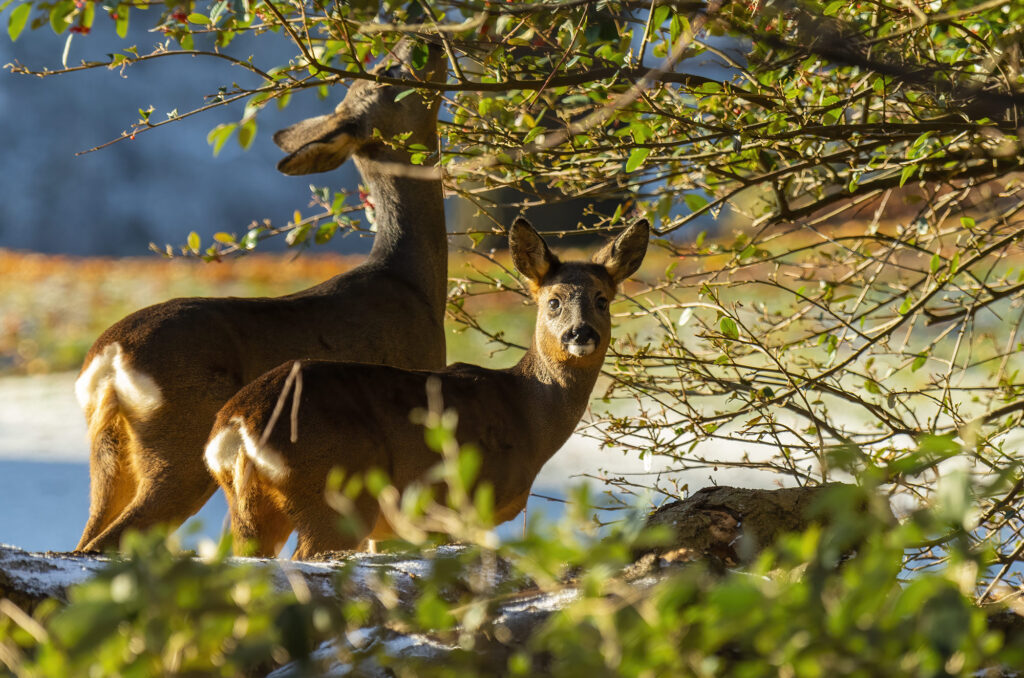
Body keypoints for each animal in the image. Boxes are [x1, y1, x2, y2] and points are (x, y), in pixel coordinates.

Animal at [74, 41, 450, 553]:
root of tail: (110, 358)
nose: (425, 42)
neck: (412, 283)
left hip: (109, 452)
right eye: (388, 70)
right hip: (182, 444)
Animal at [204, 216, 647, 557]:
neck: (525, 413)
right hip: (335, 494)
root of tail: (236, 425)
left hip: (249, 511)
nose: (580, 333)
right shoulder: (464, 505)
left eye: (602, 299)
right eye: (553, 301)